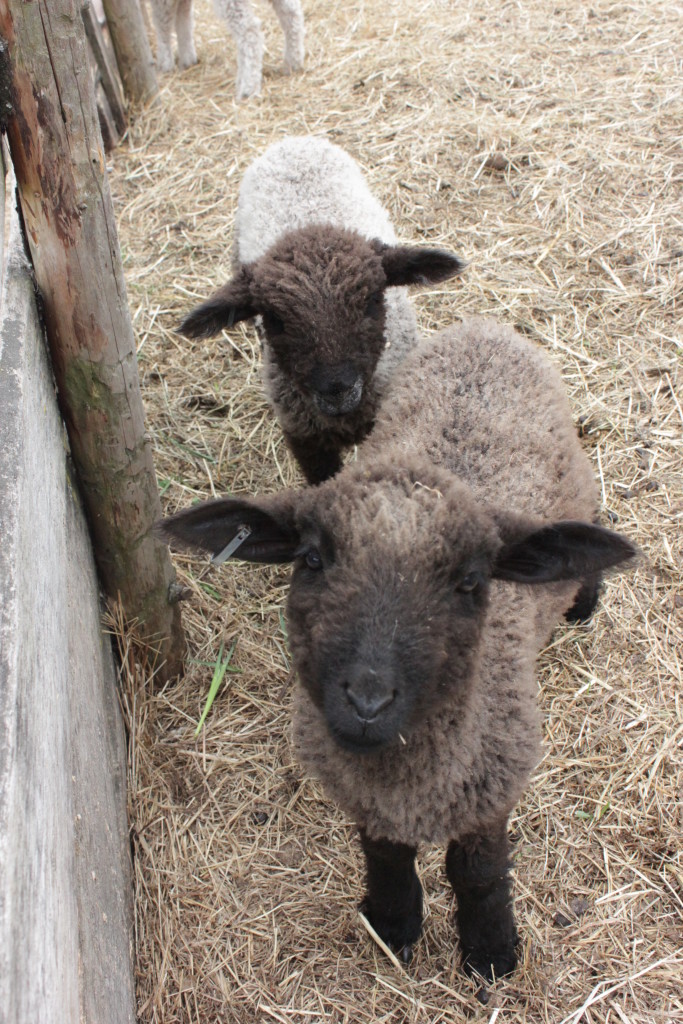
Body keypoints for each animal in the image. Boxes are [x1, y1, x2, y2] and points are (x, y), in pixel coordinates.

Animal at [148, 0, 305, 97]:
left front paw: (164, 64)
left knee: (249, 30)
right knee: (291, 11)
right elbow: (184, 14)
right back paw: (292, 64)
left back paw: (248, 88)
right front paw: (187, 59)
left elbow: (162, 22)